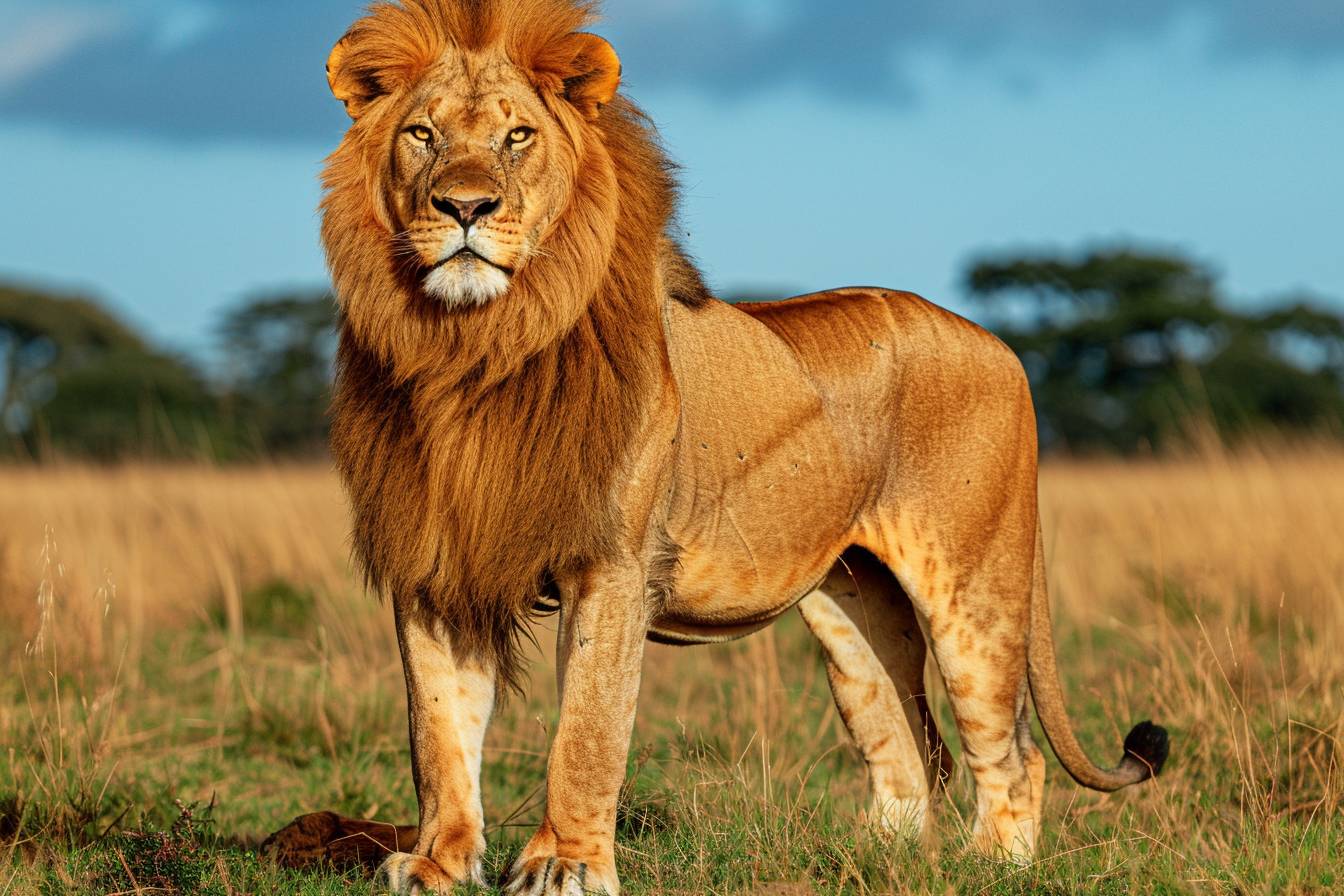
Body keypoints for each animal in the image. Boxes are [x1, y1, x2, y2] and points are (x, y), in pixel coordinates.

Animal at [293, 0, 1171, 892]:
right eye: (423, 134)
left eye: (517, 137)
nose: (463, 207)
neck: (472, 348)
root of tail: (1000, 345)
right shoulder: (435, 561)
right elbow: (438, 730)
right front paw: (437, 862)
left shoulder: (612, 565)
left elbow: (586, 732)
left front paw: (565, 865)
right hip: (851, 610)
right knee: (908, 744)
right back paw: (864, 859)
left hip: (974, 587)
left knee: (1011, 753)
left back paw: (992, 866)